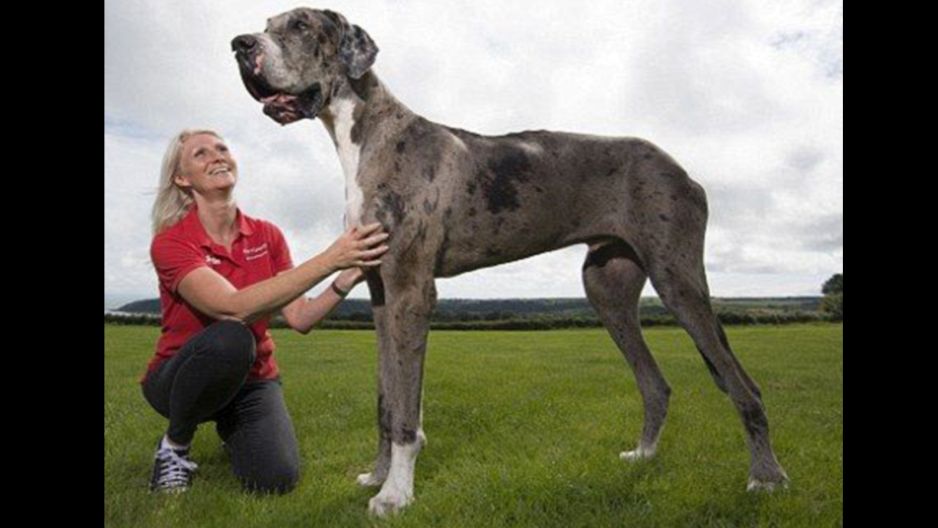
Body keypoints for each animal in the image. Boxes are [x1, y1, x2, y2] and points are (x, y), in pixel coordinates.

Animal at [230, 5, 788, 516]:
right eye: (268, 22)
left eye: (302, 25)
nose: (240, 44)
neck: (366, 134)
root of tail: (682, 168)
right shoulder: (381, 294)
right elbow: (387, 401)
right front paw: (378, 475)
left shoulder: (412, 290)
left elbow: (406, 410)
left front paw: (396, 495)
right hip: (606, 288)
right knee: (656, 384)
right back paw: (644, 456)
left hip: (678, 280)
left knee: (744, 385)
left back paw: (766, 478)